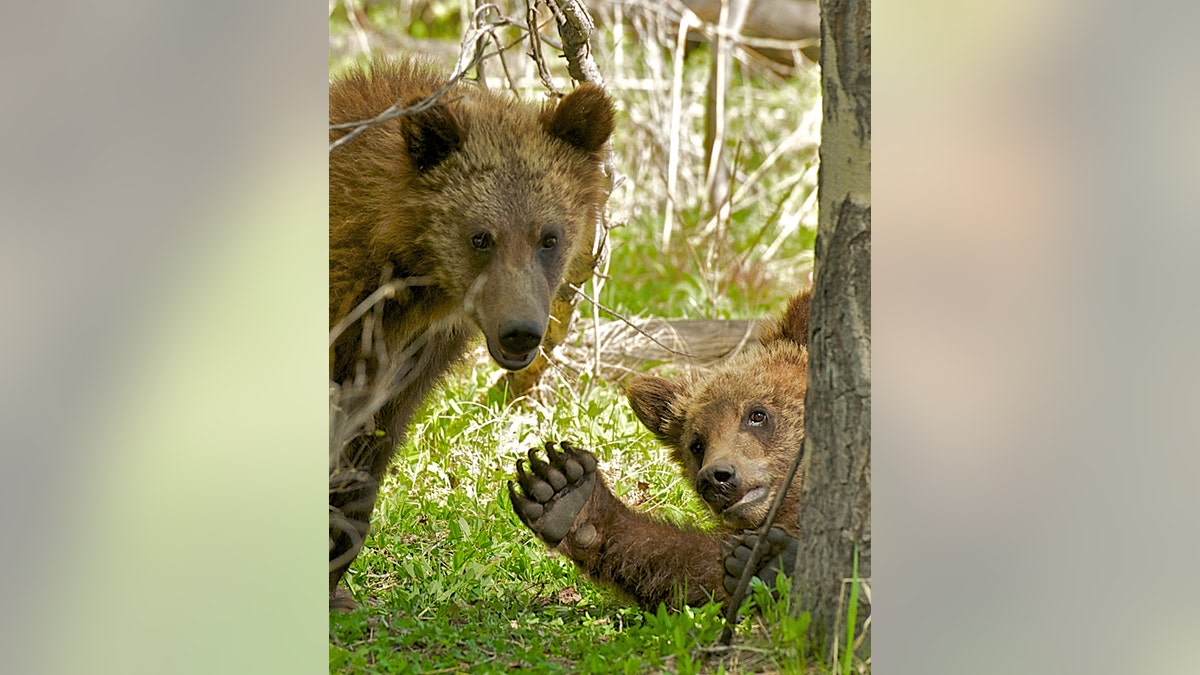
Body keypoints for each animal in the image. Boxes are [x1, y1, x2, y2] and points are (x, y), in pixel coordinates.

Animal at [506, 289, 806, 605]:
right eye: (697, 444)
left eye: (757, 414)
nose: (717, 477)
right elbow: (699, 573)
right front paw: (566, 495)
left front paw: (772, 561)